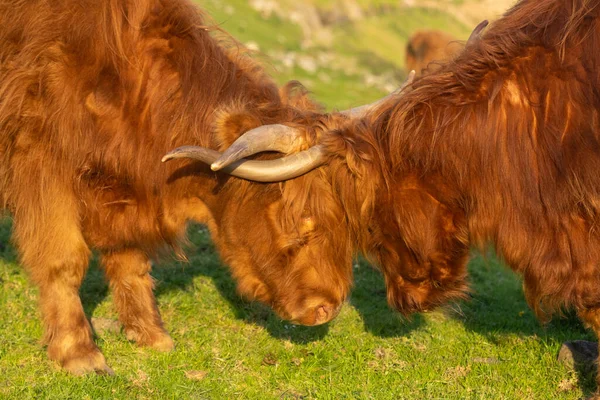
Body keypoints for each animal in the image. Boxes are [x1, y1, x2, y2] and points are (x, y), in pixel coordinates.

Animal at [0, 0, 360, 376]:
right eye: (300, 219)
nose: (328, 308)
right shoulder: (42, 164)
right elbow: (64, 261)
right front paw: (78, 353)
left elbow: (131, 259)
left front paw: (151, 334)